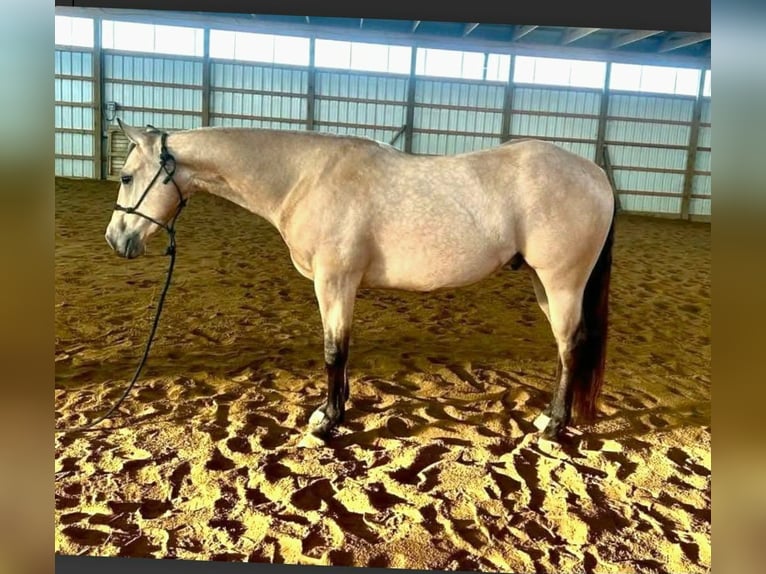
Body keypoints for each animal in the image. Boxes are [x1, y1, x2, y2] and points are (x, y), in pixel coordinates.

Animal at [105, 119, 616, 442]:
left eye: (126, 176)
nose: (115, 239)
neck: (304, 178)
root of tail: (596, 174)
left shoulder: (334, 281)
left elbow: (334, 349)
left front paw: (326, 422)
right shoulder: (342, 285)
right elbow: (344, 350)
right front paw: (340, 406)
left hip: (561, 283)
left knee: (571, 345)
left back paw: (554, 425)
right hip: (543, 285)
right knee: (566, 347)